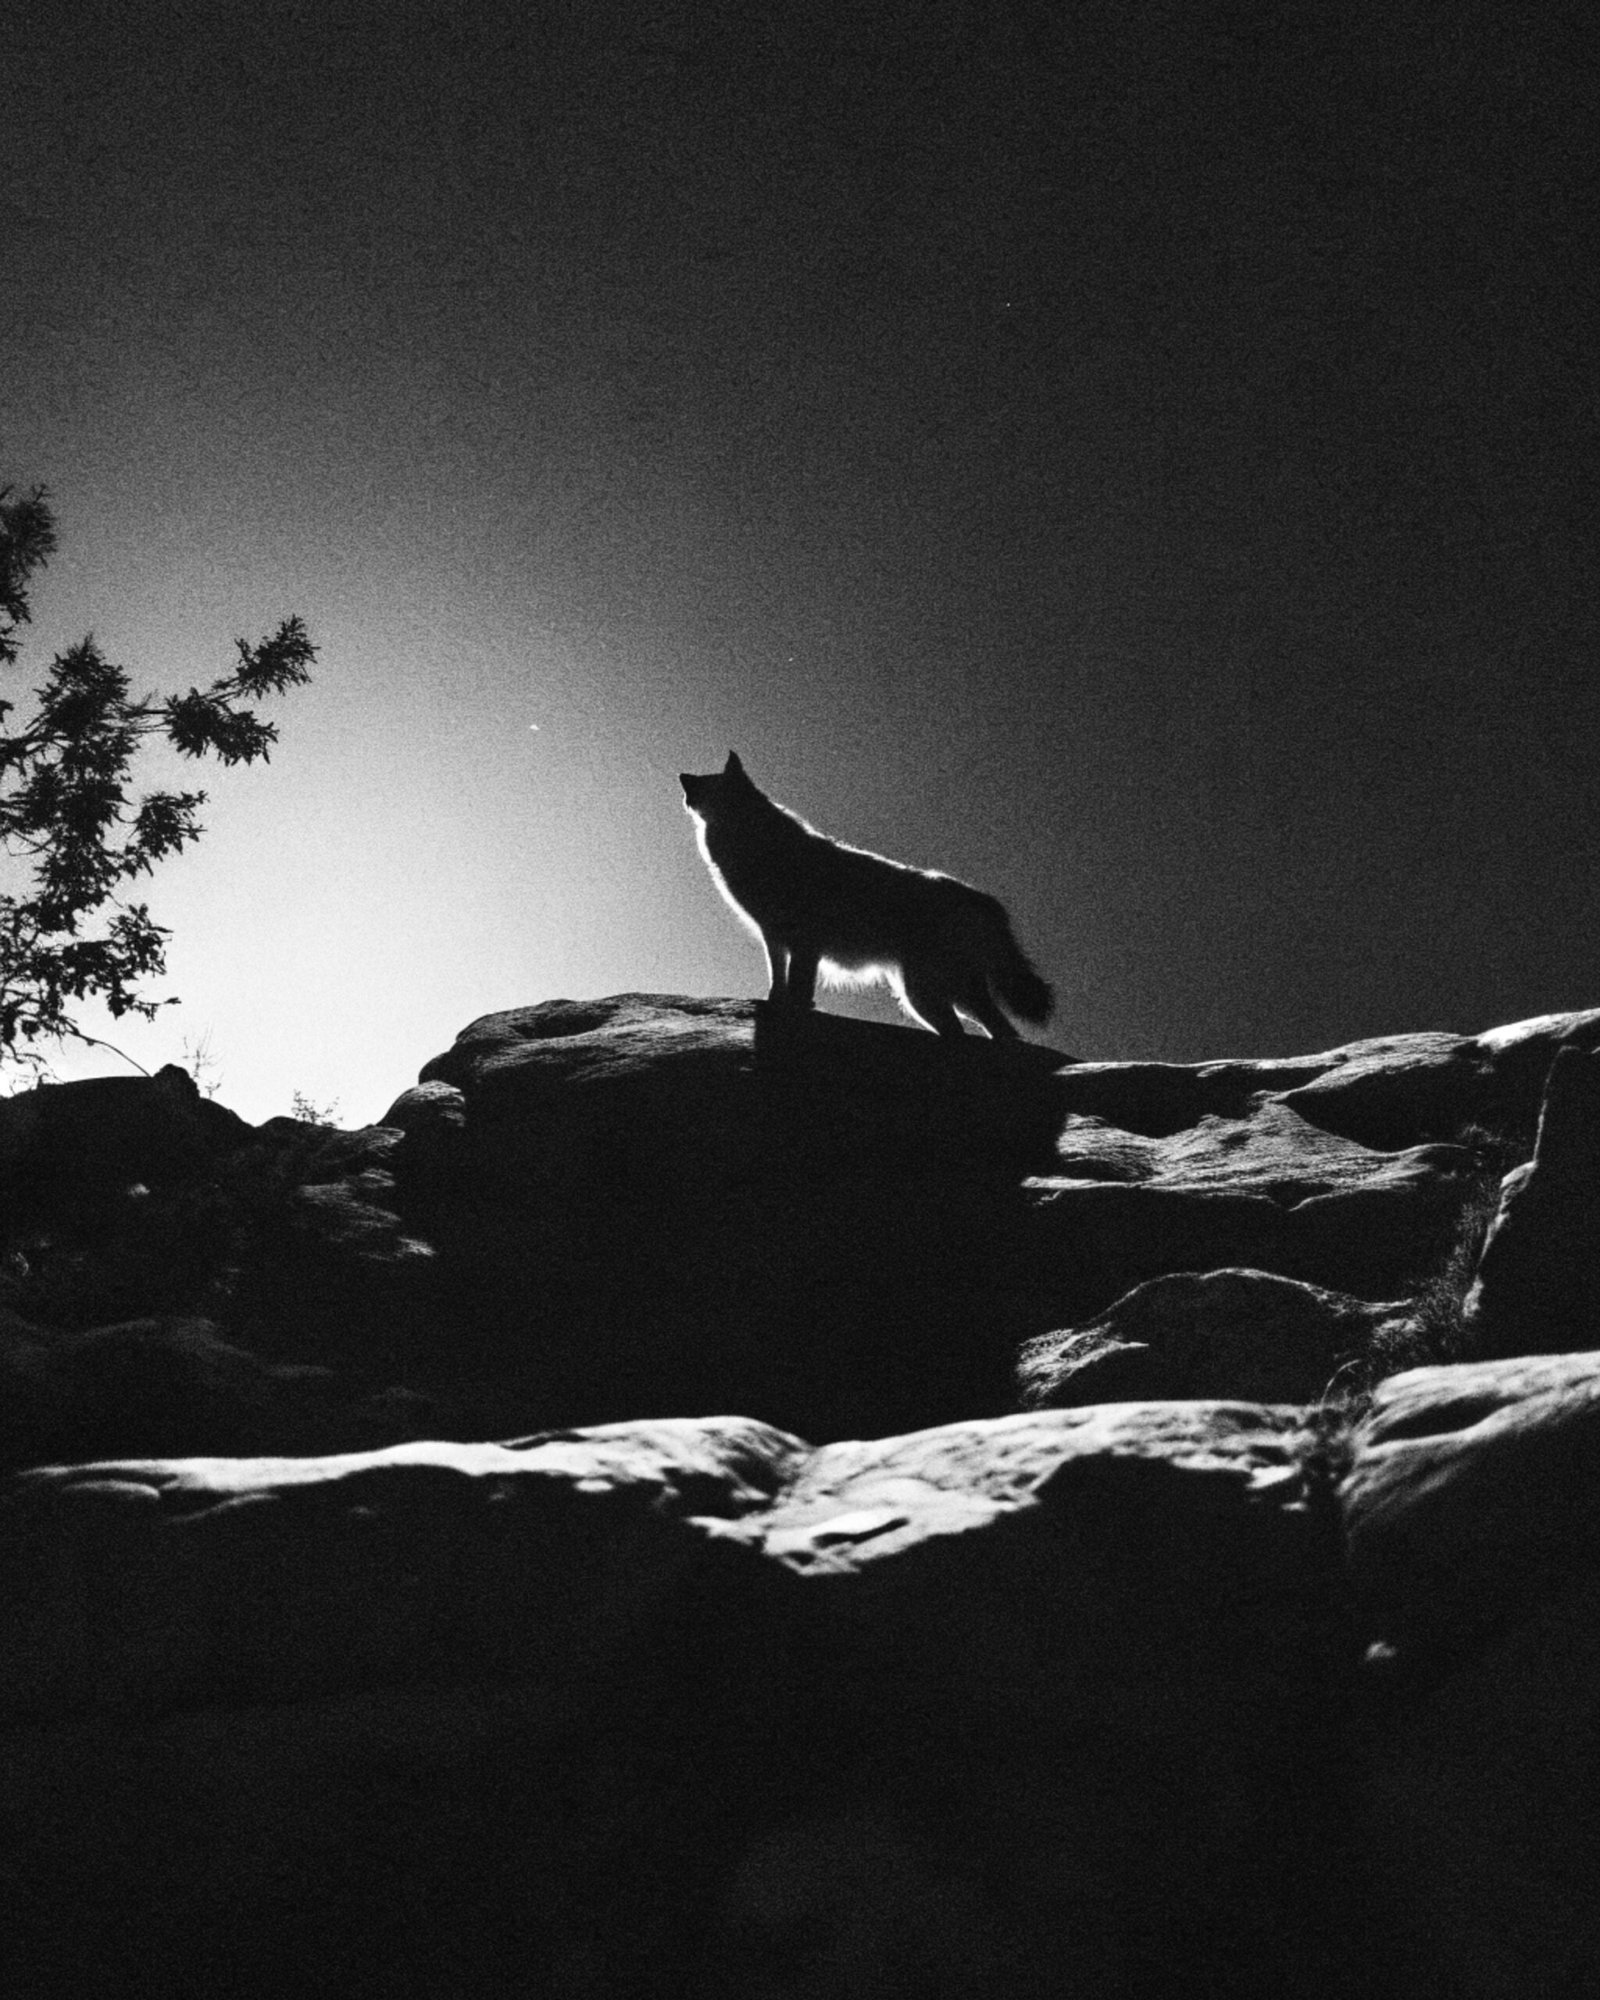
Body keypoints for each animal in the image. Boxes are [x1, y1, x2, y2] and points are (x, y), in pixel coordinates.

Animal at [679, 752, 1053, 1039]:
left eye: (707, 781)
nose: (682, 777)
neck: (752, 842)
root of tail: (982, 898)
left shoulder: (804, 943)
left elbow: (799, 989)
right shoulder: (775, 938)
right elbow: (778, 981)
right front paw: (775, 1004)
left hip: (929, 993)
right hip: (931, 996)